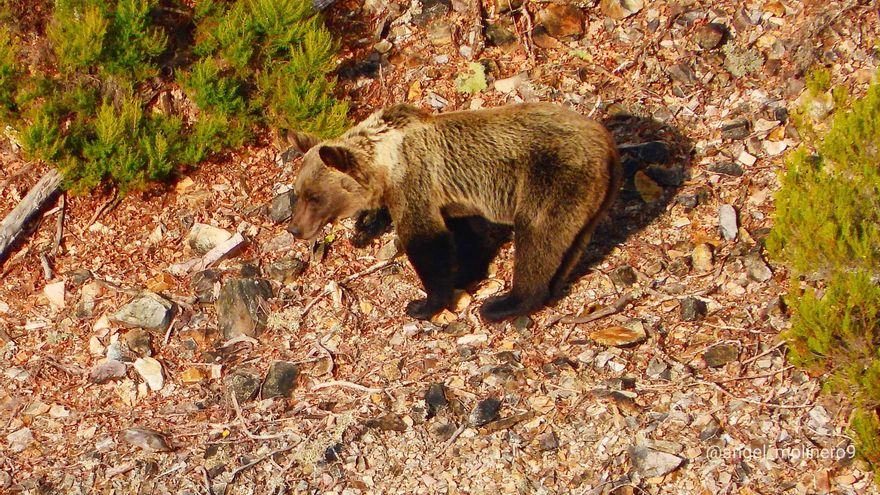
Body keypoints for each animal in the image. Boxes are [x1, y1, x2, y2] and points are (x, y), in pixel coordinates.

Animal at [286, 102, 622, 322]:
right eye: (298, 193)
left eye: (314, 197)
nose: (295, 228)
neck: (382, 164)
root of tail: (608, 146)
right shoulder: (456, 198)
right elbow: (470, 235)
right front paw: (464, 272)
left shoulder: (414, 182)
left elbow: (426, 240)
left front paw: (424, 303)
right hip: (590, 199)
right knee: (569, 245)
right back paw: (552, 290)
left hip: (552, 178)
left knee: (539, 238)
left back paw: (505, 304)